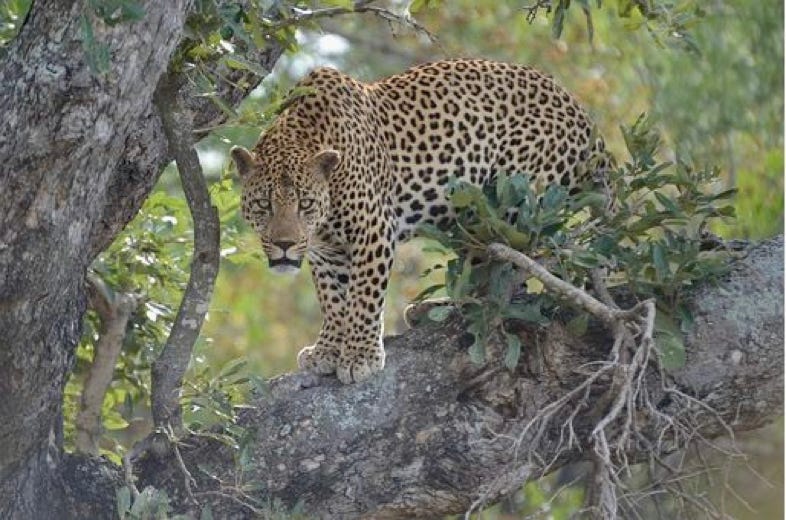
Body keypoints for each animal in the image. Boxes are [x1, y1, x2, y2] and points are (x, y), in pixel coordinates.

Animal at [230, 61, 608, 384]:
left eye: (305, 204)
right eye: (264, 205)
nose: (284, 244)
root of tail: (584, 116)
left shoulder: (373, 229)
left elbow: (363, 296)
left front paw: (359, 357)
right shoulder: (326, 250)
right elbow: (333, 298)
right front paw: (327, 349)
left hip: (513, 198)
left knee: (508, 276)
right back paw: (433, 309)